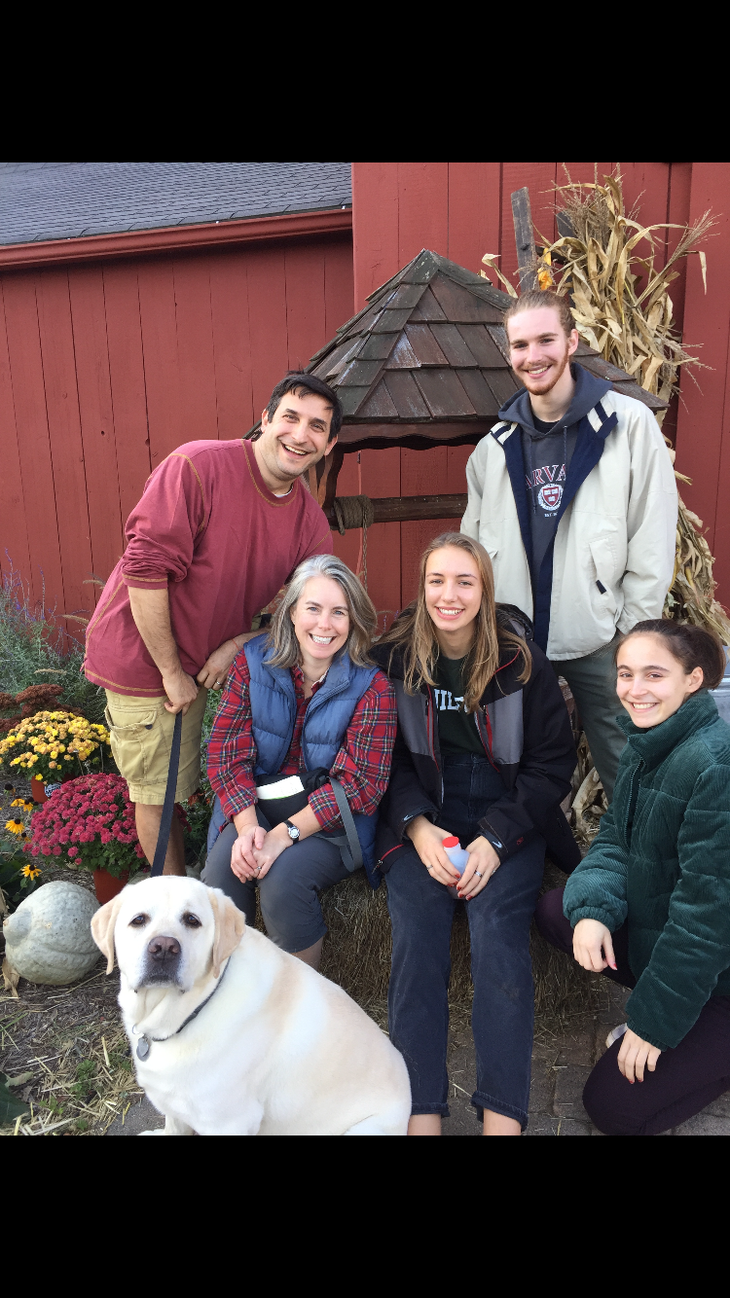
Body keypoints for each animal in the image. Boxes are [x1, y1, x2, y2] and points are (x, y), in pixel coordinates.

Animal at [89, 872, 410, 1137]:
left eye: (192, 920)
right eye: (138, 920)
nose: (164, 948)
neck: (189, 1012)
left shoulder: (230, 1122)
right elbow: (174, 1126)